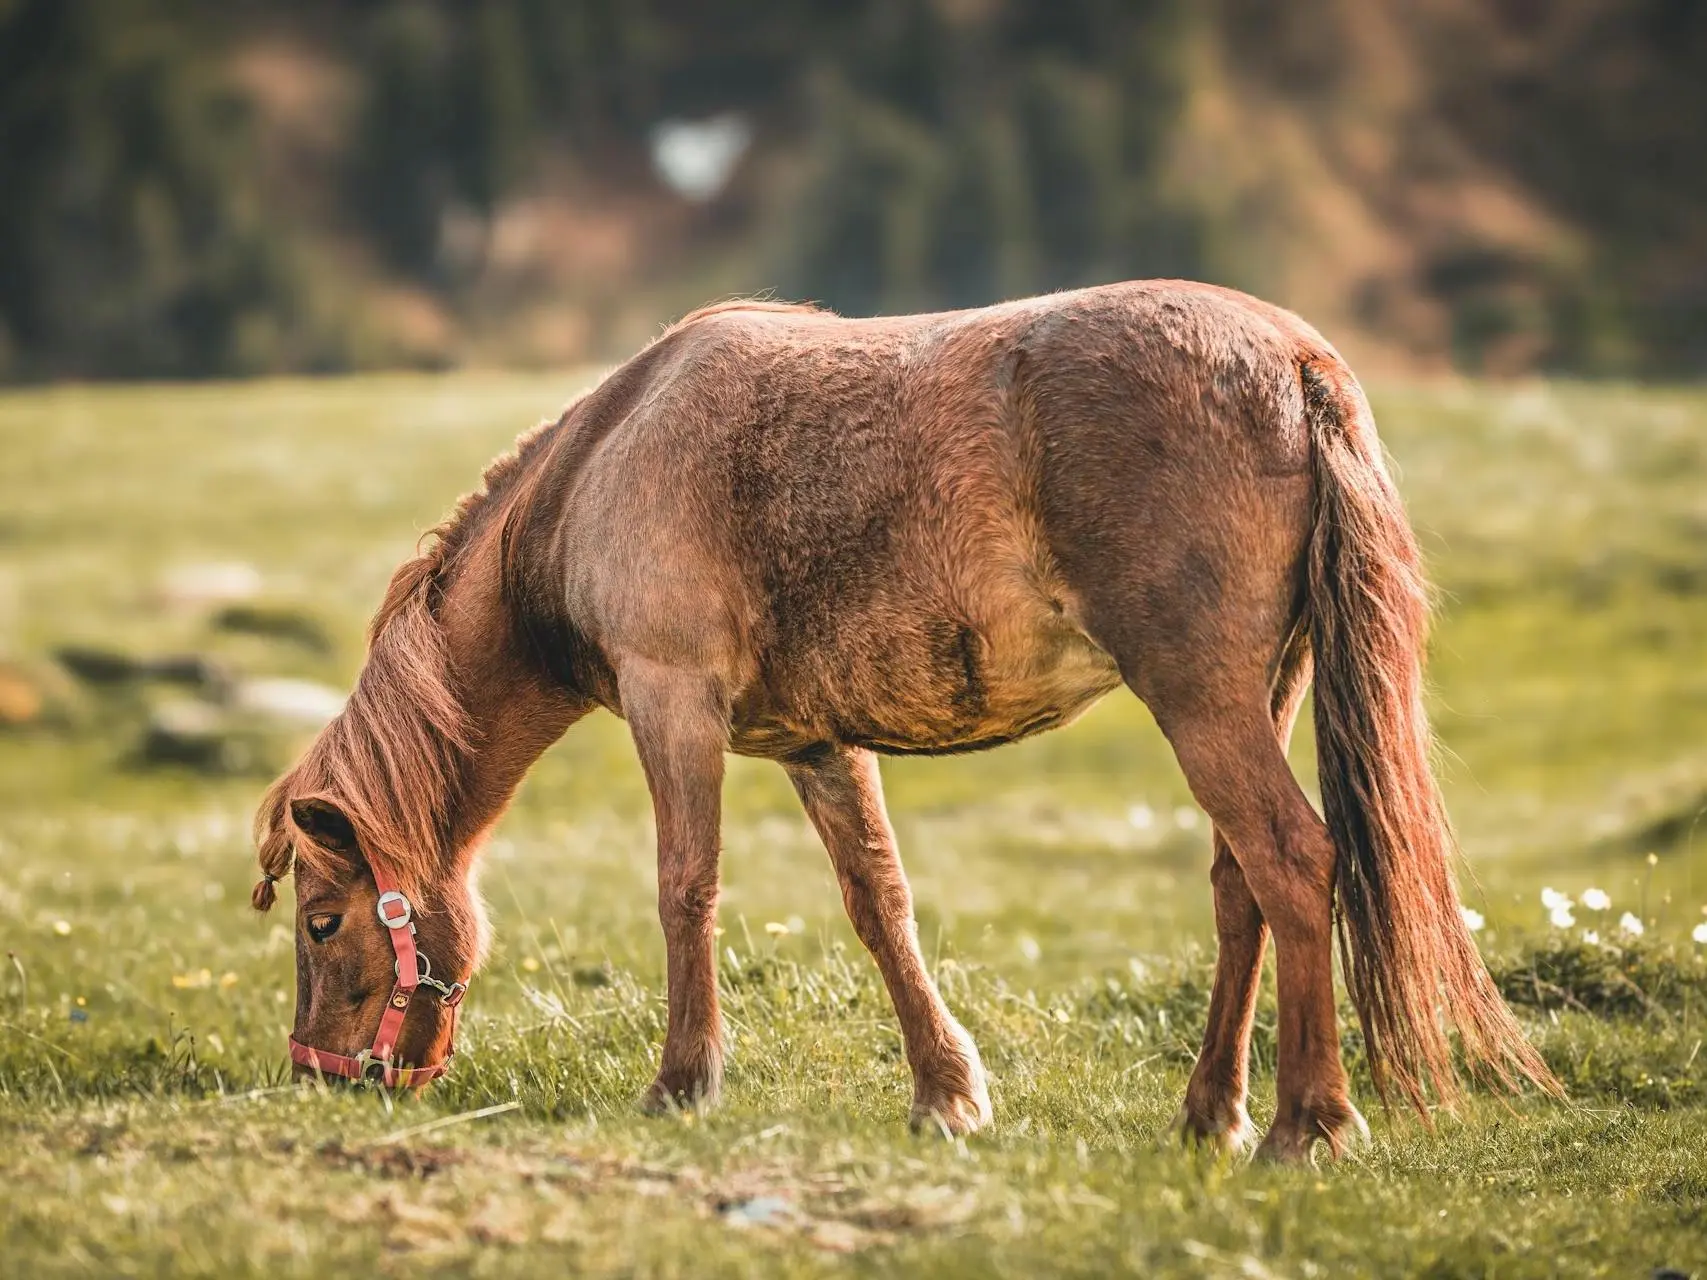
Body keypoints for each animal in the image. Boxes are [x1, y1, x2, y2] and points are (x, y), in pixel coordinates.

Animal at [249, 285, 1563, 1167]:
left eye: (322, 922)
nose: (324, 1077)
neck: (606, 460)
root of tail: (1297, 362)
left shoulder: (675, 702)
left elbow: (686, 886)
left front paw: (684, 1080)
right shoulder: (816, 743)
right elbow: (880, 903)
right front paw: (946, 1091)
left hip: (1203, 701)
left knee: (1296, 863)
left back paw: (1308, 1122)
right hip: (1261, 694)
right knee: (1243, 884)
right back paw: (1212, 1112)